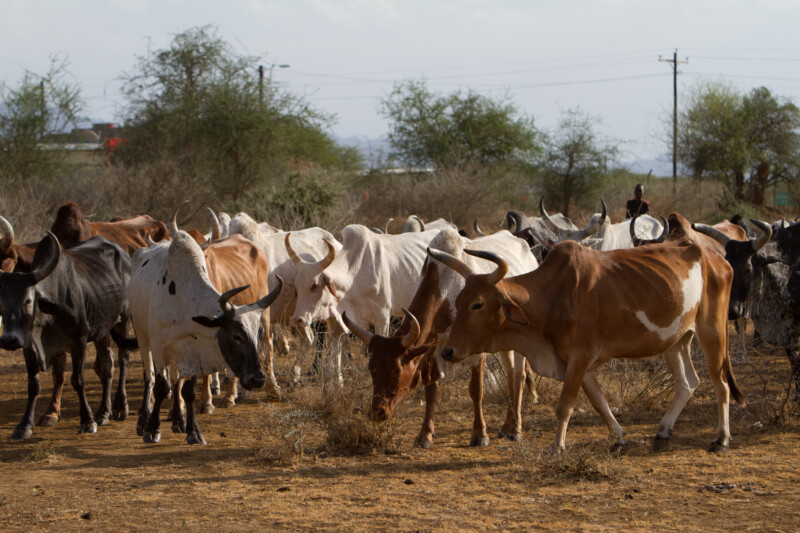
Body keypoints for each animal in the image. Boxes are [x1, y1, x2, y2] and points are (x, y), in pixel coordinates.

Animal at [0, 233, 132, 439]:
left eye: (28, 300)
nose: (8, 340)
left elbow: (78, 380)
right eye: (2, 301)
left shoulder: (79, 343)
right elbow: (34, 384)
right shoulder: (29, 347)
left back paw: (120, 407)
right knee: (107, 364)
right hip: (102, 329)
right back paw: (103, 413)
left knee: (124, 358)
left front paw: (87, 421)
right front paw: (24, 425)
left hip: (123, 320)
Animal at [128, 231, 282, 445]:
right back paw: (144, 419)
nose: (257, 379)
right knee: (149, 377)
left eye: (257, 334)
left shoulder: (194, 350)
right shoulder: (160, 348)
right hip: (142, 336)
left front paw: (193, 431)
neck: (183, 299)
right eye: (236, 336)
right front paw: (152, 429)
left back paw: (178, 419)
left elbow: (188, 391)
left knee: (176, 380)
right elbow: (160, 387)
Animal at [287, 225, 440, 385]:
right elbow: (335, 352)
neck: (357, 275)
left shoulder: (382, 316)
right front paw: (337, 384)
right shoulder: (338, 321)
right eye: (297, 286)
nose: (297, 320)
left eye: (314, 285)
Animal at [342, 228, 538, 448]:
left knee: (518, 376)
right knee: (511, 373)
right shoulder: (433, 348)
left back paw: (515, 428)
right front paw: (425, 434)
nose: (377, 413)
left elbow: (476, 390)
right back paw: (506, 425)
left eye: (397, 370)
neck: (445, 284)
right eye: (371, 368)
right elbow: (431, 391)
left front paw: (480, 433)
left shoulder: (475, 351)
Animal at [430, 236, 744, 453]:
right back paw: (663, 431)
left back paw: (721, 439)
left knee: (721, 384)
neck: (553, 295)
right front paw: (619, 438)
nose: (447, 351)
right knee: (688, 382)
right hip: (676, 340)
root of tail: (715, 257)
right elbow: (598, 401)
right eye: (459, 301)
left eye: (478, 304)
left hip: (712, 331)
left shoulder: (580, 357)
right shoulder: (577, 362)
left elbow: (565, 405)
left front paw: (557, 446)